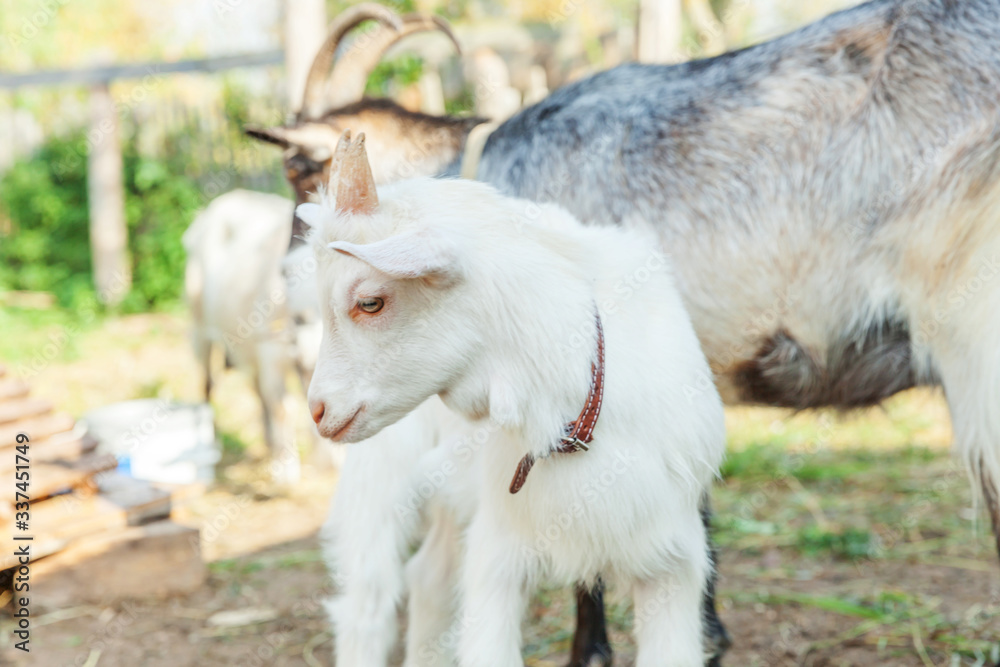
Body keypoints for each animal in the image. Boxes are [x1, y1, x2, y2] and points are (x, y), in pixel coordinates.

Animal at [300, 134, 724, 667]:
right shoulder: (498, 554)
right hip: (382, 476)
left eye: (370, 302)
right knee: (368, 603)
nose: (317, 411)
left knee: (429, 579)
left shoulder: (672, 562)